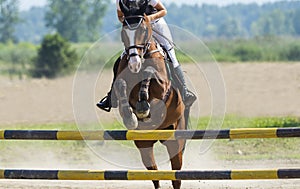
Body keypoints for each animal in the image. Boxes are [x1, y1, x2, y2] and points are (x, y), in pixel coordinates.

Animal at [112, 9, 188, 189]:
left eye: (143, 31)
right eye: (123, 33)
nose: (134, 63)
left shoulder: (163, 87)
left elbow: (150, 73)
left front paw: (143, 107)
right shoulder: (122, 82)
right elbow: (121, 84)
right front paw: (131, 117)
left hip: (175, 140)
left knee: (176, 175)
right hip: (143, 144)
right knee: (154, 173)